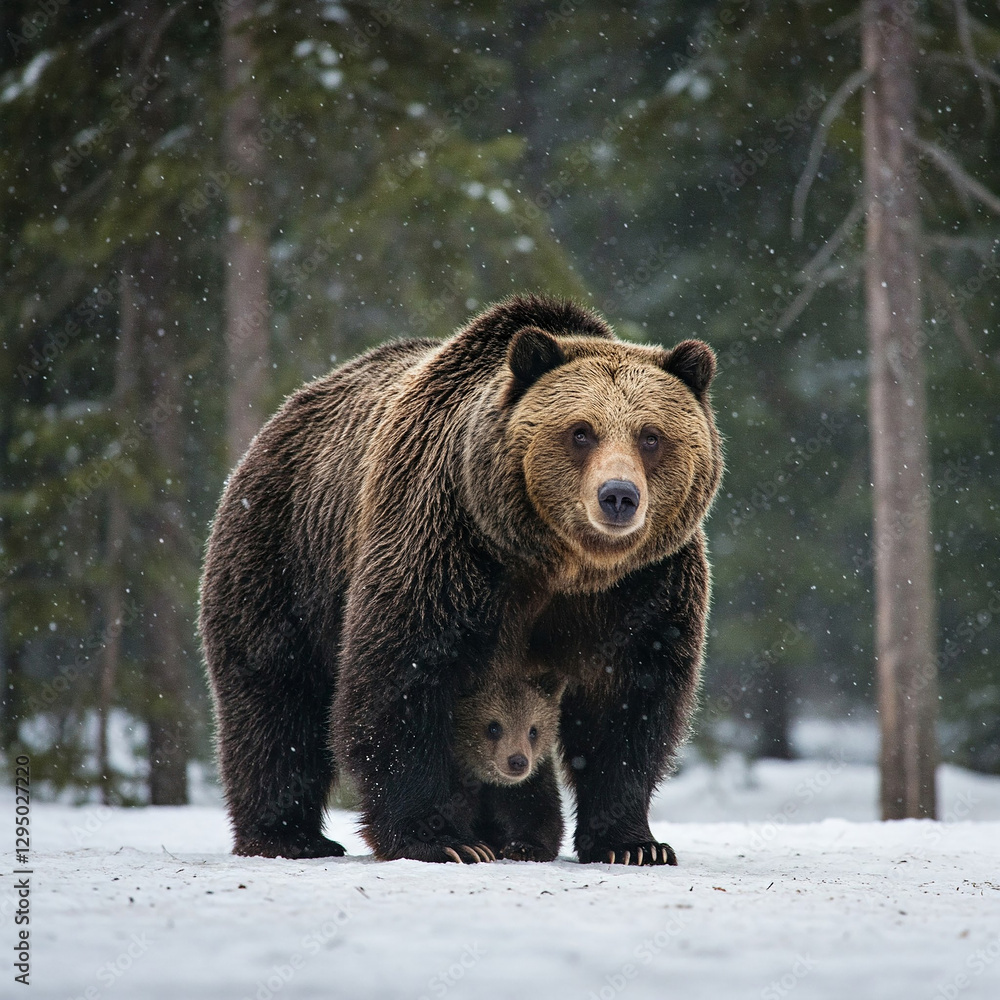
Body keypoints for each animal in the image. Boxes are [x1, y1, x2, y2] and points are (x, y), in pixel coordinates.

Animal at [452, 670, 568, 863]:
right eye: (493, 727)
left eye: (533, 730)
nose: (518, 761)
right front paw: (472, 848)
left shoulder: (531, 779)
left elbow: (539, 809)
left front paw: (524, 847)